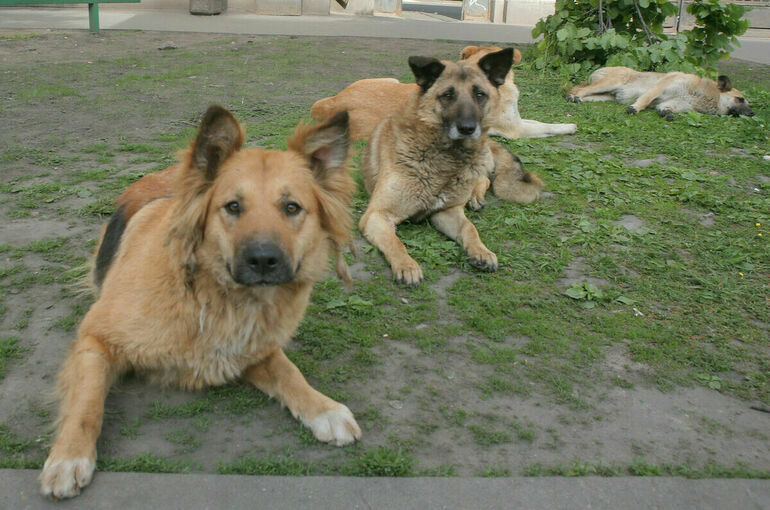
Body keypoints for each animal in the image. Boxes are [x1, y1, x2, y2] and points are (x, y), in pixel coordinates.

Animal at [42, 105, 364, 500]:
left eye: (291, 208)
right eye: (233, 206)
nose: (263, 260)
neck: (217, 298)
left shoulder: (252, 351)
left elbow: (290, 373)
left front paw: (324, 408)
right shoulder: (95, 337)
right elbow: (86, 401)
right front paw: (69, 456)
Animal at [308, 45, 572, 141]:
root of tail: (331, 103)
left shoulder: (516, 121)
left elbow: (536, 120)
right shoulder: (515, 128)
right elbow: (544, 125)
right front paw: (569, 126)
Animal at [358, 46, 544, 286]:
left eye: (479, 94)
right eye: (447, 95)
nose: (467, 128)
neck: (445, 159)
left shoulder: (448, 211)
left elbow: (470, 228)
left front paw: (481, 251)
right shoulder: (377, 215)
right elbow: (394, 241)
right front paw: (407, 265)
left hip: (477, 164)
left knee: (483, 178)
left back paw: (475, 197)